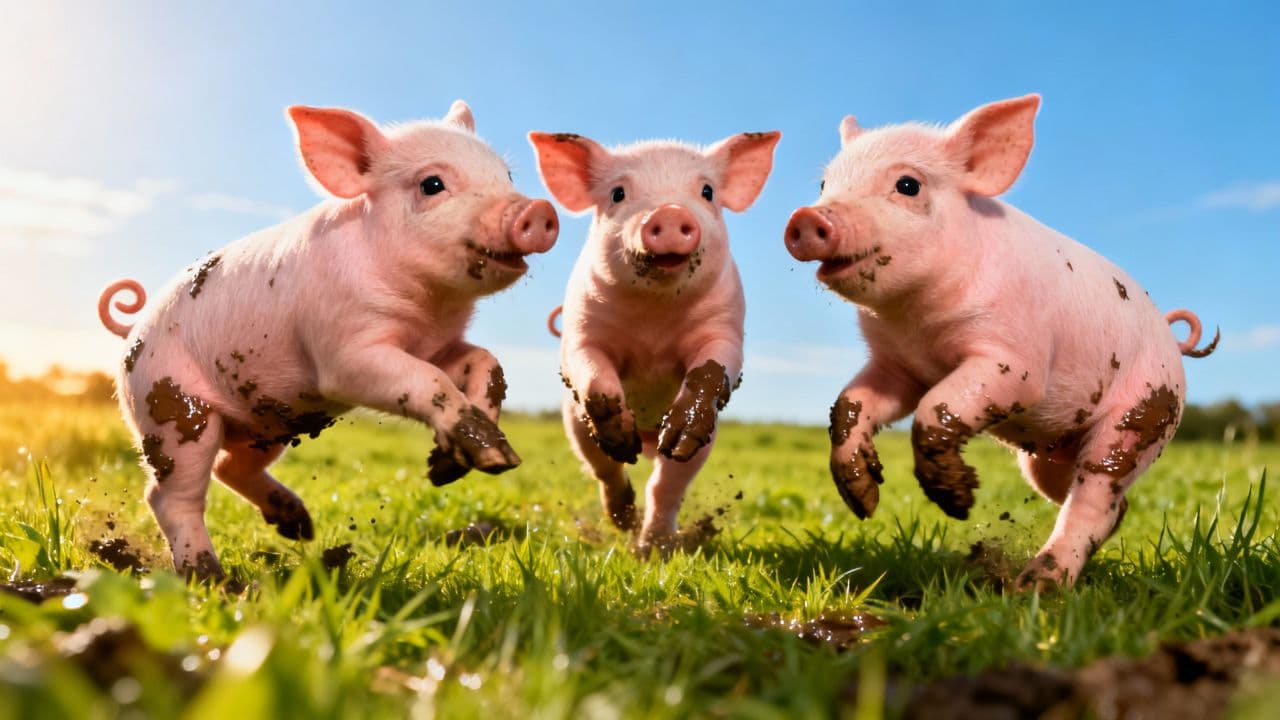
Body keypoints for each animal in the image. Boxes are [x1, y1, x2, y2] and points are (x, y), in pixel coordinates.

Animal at [96, 101, 559, 579]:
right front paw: (495, 461)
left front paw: (457, 468)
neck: (428, 311)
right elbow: (424, 380)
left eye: (507, 175)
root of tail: (132, 331)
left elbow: (487, 364)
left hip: (266, 425)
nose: (538, 209)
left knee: (230, 467)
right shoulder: (344, 351)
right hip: (172, 412)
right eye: (432, 184)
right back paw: (213, 579)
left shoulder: (438, 346)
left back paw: (300, 527)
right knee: (170, 495)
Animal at [528, 129, 780, 554]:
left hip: (704, 446)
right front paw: (618, 430)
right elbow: (590, 369)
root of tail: (648, 439)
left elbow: (716, 364)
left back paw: (654, 547)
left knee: (665, 484)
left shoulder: (725, 326)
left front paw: (679, 428)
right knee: (607, 470)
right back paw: (626, 509)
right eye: (617, 193)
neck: (654, 324)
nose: (670, 212)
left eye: (707, 192)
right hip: (574, 425)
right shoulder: (582, 330)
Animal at [783, 94, 1217, 588]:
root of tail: (1171, 342)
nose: (805, 217)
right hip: (1046, 462)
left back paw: (1037, 586)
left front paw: (959, 503)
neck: (918, 326)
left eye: (908, 185)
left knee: (1094, 494)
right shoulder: (896, 367)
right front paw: (862, 501)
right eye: (824, 183)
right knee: (1105, 503)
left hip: (1143, 415)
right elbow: (850, 404)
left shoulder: (1017, 360)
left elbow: (938, 407)